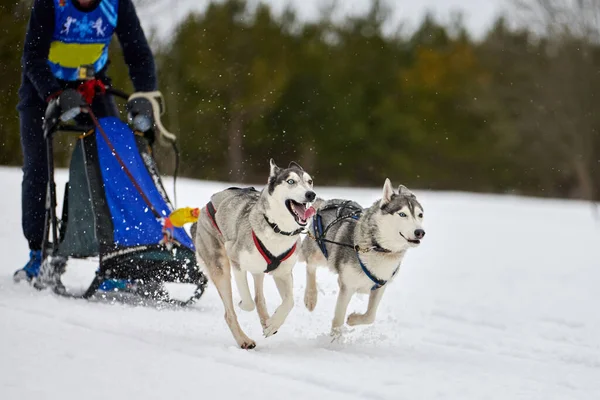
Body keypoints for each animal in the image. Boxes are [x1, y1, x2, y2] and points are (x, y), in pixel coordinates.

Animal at [193, 161, 316, 348]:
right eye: (291, 181)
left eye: (309, 181)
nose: (311, 194)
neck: (276, 229)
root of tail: (211, 200)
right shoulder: (236, 261)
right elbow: (248, 301)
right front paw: (243, 304)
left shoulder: (283, 273)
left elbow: (289, 301)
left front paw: (272, 324)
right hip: (220, 268)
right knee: (230, 313)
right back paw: (244, 340)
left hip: (258, 271)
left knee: (259, 297)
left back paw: (265, 320)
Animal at [302, 180, 424, 336]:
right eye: (402, 214)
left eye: (420, 215)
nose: (420, 232)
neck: (377, 247)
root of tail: (326, 202)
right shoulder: (347, 287)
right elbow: (338, 321)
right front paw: (334, 340)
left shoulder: (379, 286)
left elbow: (370, 316)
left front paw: (353, 319)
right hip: (319, 252)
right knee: (309, 265)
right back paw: (310, 297)